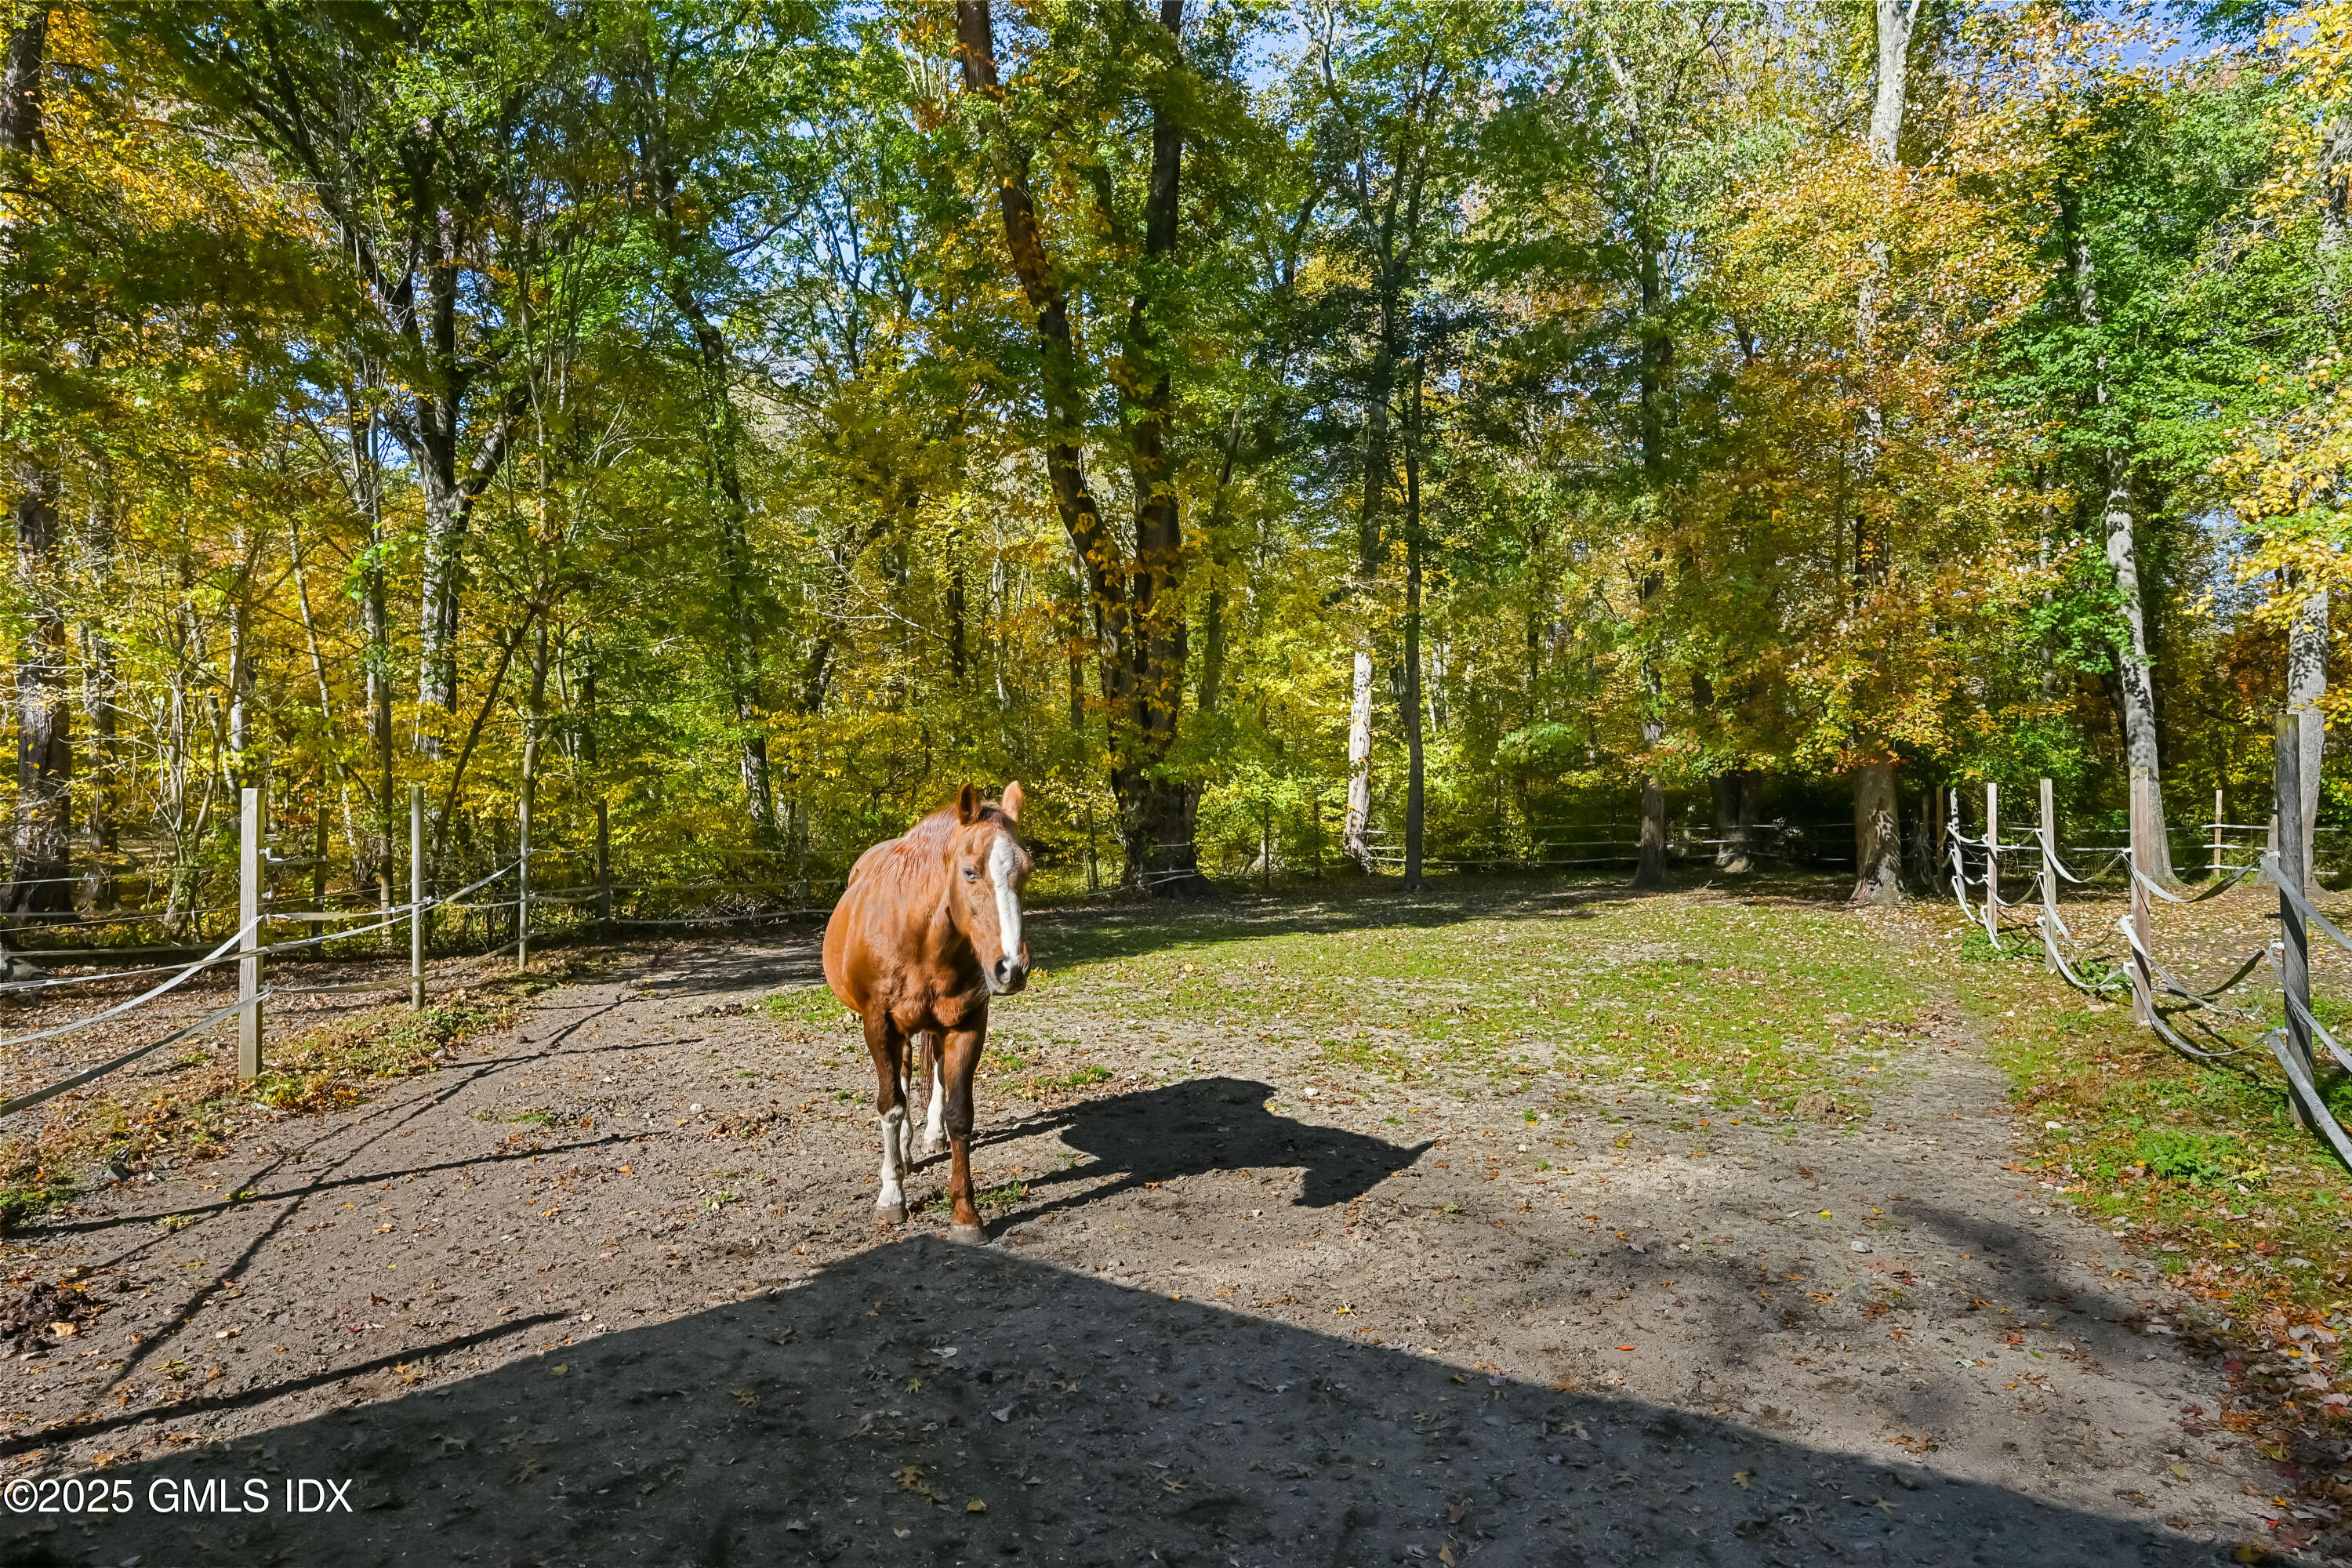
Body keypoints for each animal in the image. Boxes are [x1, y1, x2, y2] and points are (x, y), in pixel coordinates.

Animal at [821, 781, 1032, 1239]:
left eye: (1026, 870)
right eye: (970, 872)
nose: (1010, 968)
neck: (920, 938)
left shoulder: (968, 1025)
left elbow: (959, 1114)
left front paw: (966, 1214)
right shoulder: (879, 1025)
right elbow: (891, 1104)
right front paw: (891, 1196)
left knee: (932, 1075)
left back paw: (928, 1136)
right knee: (900, 1077)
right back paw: (903, 1154)